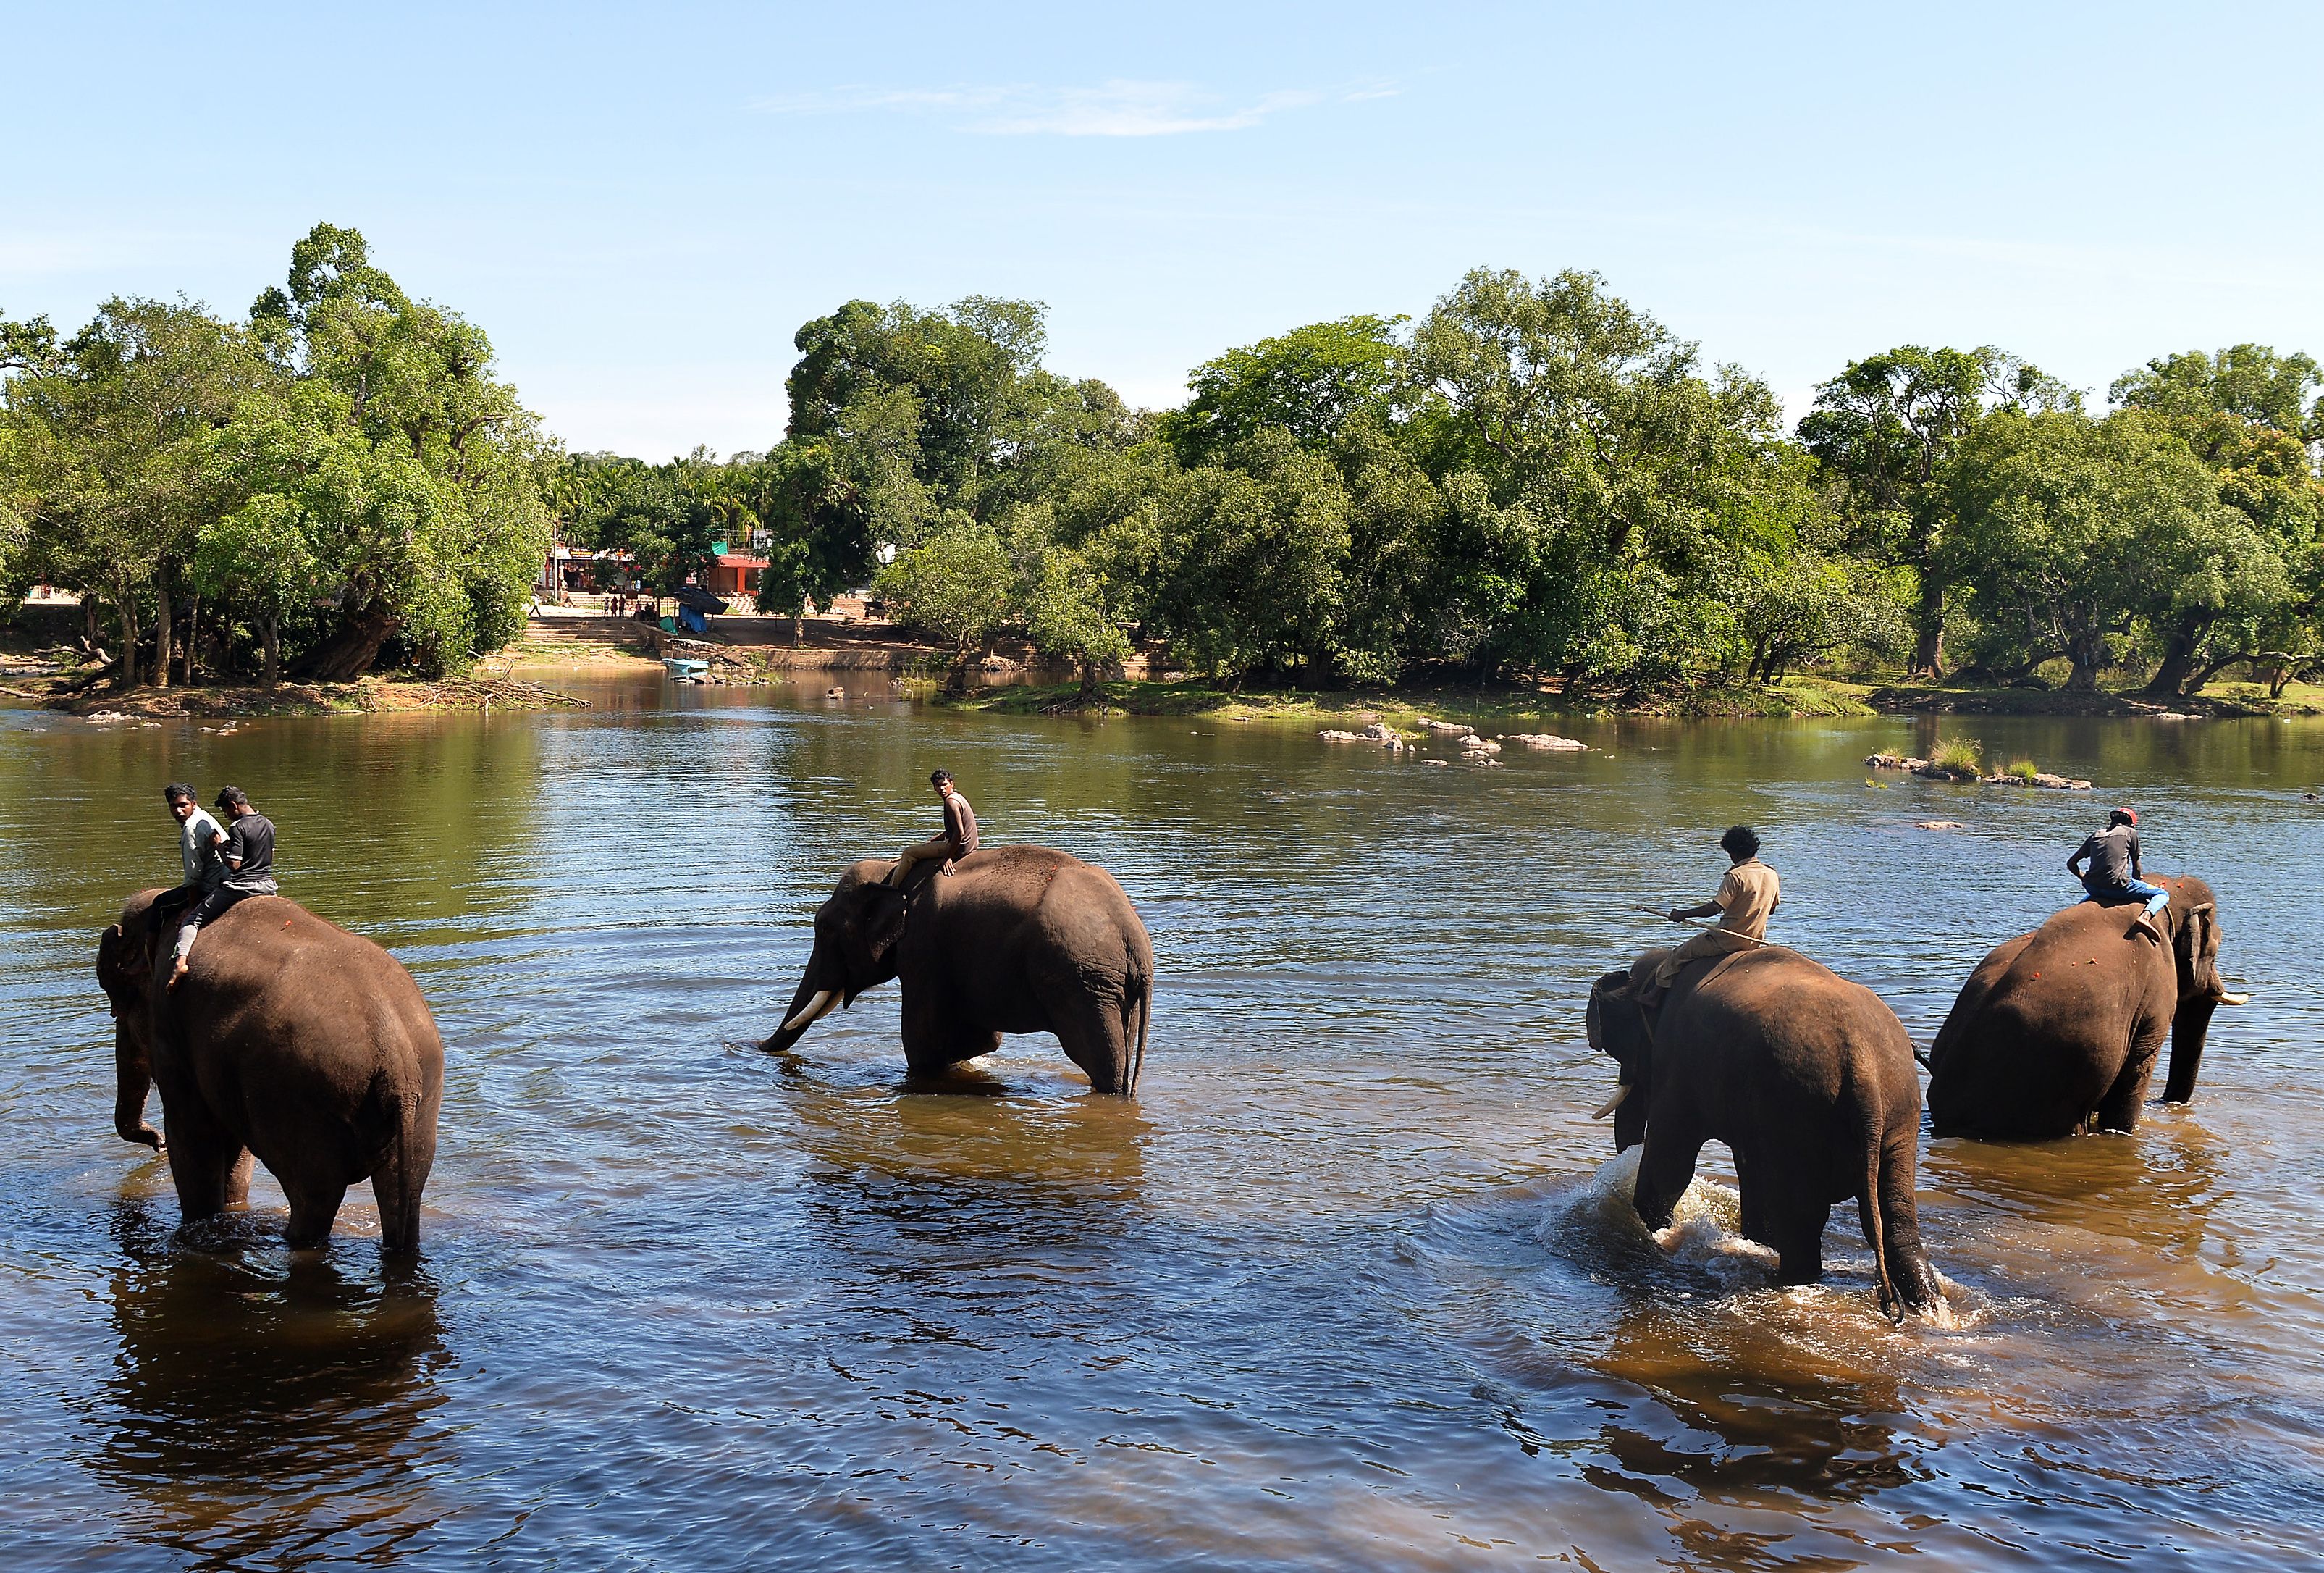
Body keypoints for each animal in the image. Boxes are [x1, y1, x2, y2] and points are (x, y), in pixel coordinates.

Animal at [95, 889, 445, 1253]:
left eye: (117, 1001)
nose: (156, 1144)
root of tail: (395, 1051)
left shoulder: (171, 1025)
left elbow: (193, 1133)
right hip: (420, 1104)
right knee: (404, 1193)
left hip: (302, 1101)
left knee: (314, 1198)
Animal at [762, 846, 1154, 1095]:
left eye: (825, 929)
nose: (756, 1047)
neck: (890, 871)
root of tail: (1133, 935)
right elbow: (981, 1039)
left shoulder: (923, 951)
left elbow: (921, 1041)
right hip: (1114, 988)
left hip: (1082, 982)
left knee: (1099, 1059)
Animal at [1586, 945, 1941, 1318]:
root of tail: (1864, 1070)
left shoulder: (1678, 1065)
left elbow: (1671, 1165)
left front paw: (1653, 1230)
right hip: (1898, 1113)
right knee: (1897, 1223)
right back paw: (1927, 1304)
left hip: (1800, 1110)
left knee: (1803, 1228)